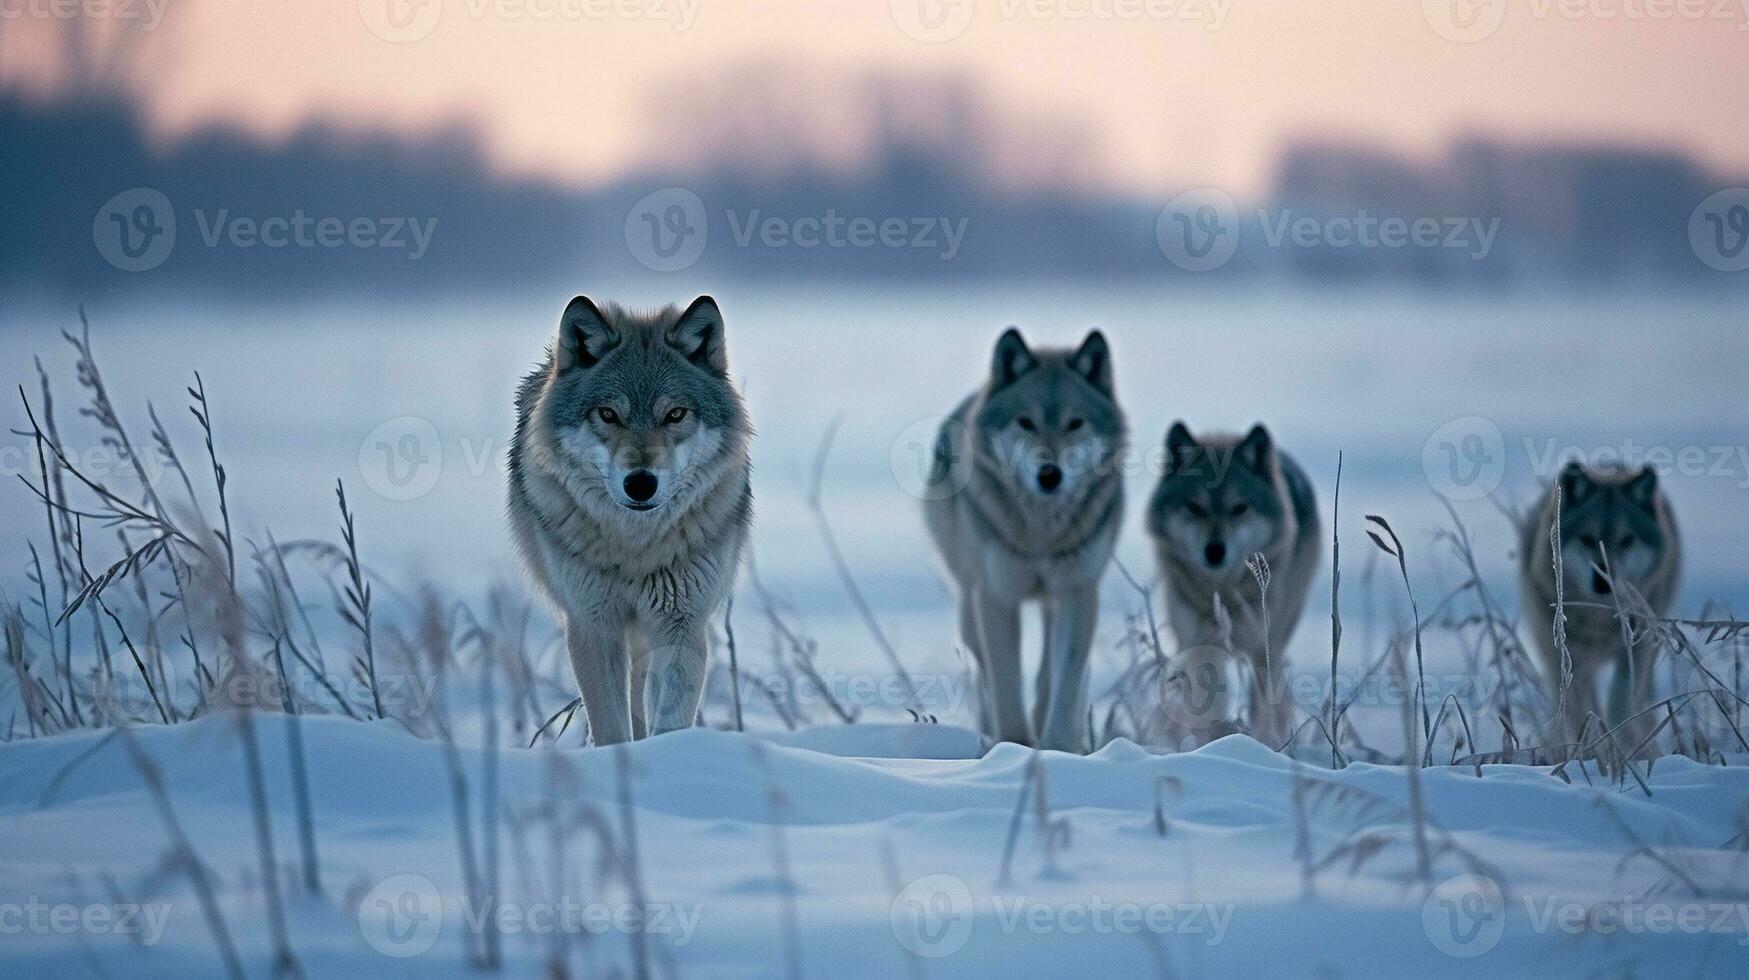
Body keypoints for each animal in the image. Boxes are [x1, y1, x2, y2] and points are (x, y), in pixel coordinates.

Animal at [507, 294, 752, 745]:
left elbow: (668, 723)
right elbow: (611, 727)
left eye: (675, 414)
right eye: (608, 414)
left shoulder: (681, 627)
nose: (640, 483)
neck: (637, 548)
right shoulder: (592, 626)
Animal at [923, 327, 1126, 749]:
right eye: (1025, 422)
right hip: (969, 606)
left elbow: (1065, 683)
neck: (1041, 534)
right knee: (986, 675)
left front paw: (1059, 750)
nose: (1049, 475)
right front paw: (1013, 749)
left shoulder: (1079, 592)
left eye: (1075, 423)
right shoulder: (996, 597)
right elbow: (1005, 685)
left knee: (1052, 674)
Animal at [1140, 421, 1315, 742]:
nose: (1214, 550)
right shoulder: (1203, 647)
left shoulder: (1262, 647)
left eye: (1239, 508)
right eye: (1194, 507)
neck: (1219, 589)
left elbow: (1265, 708)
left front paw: (1264, 744)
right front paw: (1215, 744)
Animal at [1518, 462, 1679, 745]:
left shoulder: (1635, 650)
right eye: (1587, 538)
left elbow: (1621, 702)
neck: (1599, 616)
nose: (1604, 583)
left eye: (1627, 540)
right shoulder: (1568, 657)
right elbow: (1581, 707)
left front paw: (1623, 740)